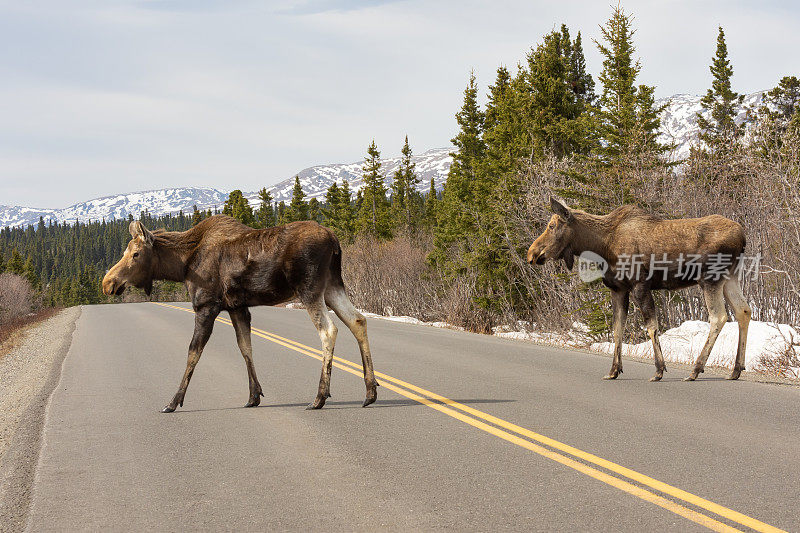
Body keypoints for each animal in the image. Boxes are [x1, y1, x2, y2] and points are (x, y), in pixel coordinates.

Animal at [102, 215, 378, 412]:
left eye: (135, 254)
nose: (107, 283)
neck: (181, 265)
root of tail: (334, 240)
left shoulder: (206, 306)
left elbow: (193, 353)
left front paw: (173, 402)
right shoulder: (237, 307)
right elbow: (245, 347)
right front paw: (253, 396)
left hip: (309, 288)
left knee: (329, 330)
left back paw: (320, 397)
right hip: (333, 285)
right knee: (358, 320)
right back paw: (370, 392)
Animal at [528, 197, 752, 380]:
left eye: (551, 225)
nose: (532, 254)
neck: (601, 246)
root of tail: (743, 237)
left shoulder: (639, 285)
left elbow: (652, 327)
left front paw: (659, 370)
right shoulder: (618, 289)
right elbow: (617, 329)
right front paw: (613, 370)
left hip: (710, 278)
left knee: (719, 317)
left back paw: (696, 370)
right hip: (730, 277)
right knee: (744, 310)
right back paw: (736, 369)